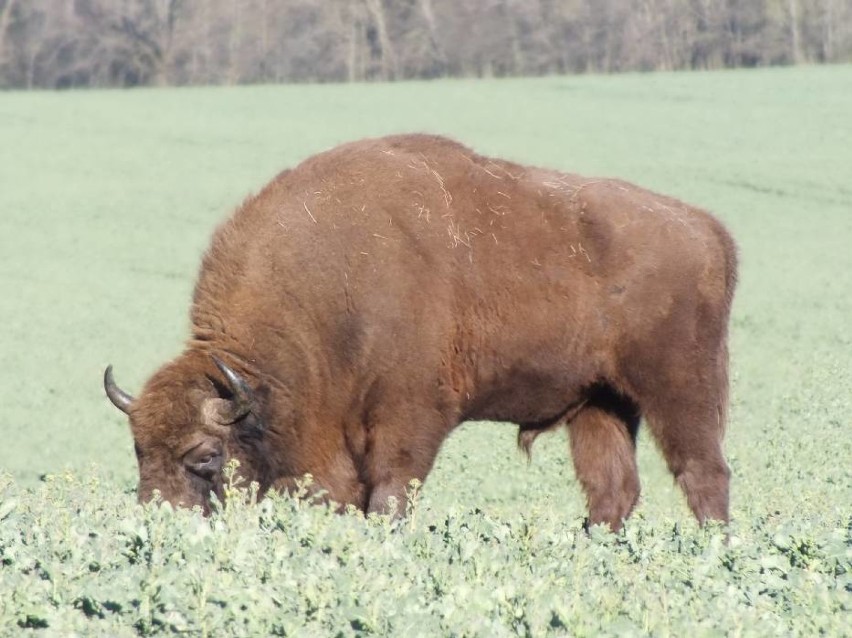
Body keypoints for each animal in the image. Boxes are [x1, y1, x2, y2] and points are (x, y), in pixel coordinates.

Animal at [103, 132, 736, 532]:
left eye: (206, 455)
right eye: (138, 449)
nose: (162, 521)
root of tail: (707, 228)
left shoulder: (408, 420)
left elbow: (390, 494)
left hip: (678, 389)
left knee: (703, 473)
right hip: (600, 404)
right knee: (613, 489)